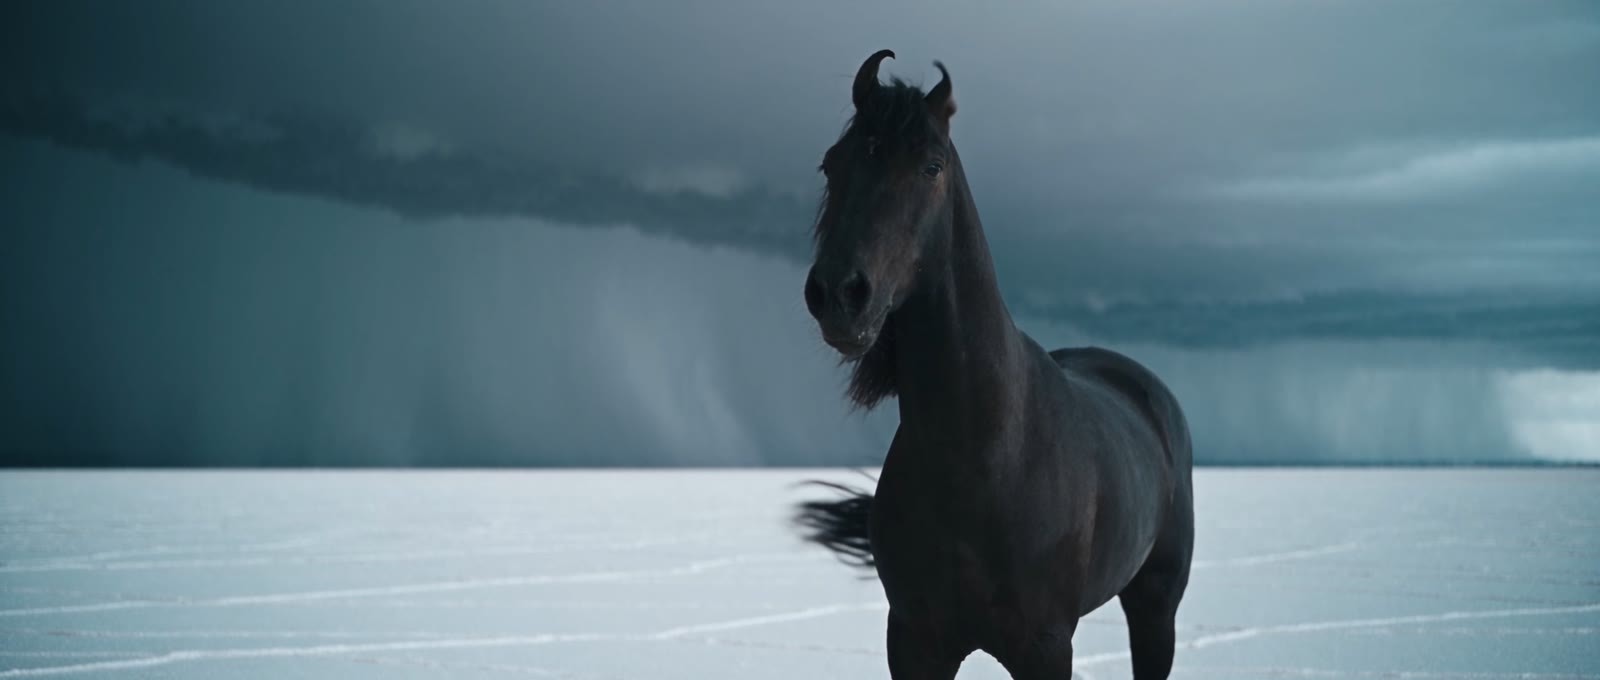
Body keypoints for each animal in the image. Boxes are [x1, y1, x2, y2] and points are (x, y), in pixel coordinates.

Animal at [794, 50, 1195, 680]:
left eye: (932, 167)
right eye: (832, 165)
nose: (839, 293)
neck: (981, 451)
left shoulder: (1045, 647)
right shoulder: (914, 641)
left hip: (1156, 610)